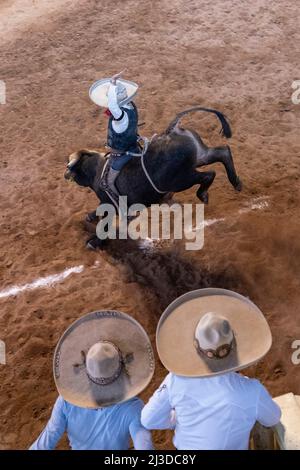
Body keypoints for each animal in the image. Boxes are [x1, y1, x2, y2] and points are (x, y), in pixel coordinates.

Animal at [65, 107, 241, 250]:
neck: (97, 170)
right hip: (200, 157)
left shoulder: (109, 204)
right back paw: (236, 182)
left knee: (209, 174)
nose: (67, 174)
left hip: (182, 179)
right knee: (223, 152)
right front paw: (90, 216)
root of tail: (172, 130)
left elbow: (105, 225)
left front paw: (93, 242)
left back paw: (204, 194)